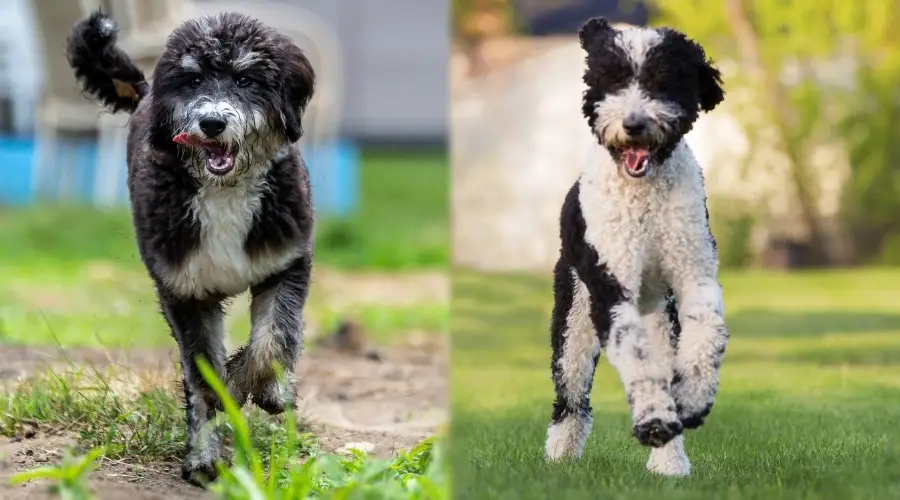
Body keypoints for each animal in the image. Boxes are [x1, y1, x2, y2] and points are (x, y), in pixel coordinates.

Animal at [65, 10, 316, 480]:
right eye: (194, 80)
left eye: (246, 79)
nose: (212, 123)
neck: (224, 191)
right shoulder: (184, 291)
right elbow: (202, 375)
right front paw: (204, 452)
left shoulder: (285, 263)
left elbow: (272, 341)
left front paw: (261, 388)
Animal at [544, 17, 728, 474]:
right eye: (612, 78)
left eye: (663, 81)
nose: (633, 124)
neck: (644, 197)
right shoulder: (610, 287)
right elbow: (634, 356)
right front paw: (655, 422)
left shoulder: (693, 272)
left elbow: (708, 329)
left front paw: (693, 398)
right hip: (574, 321)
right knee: (571, 396)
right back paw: (560, 456)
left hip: (660, 316)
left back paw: (670, 462)